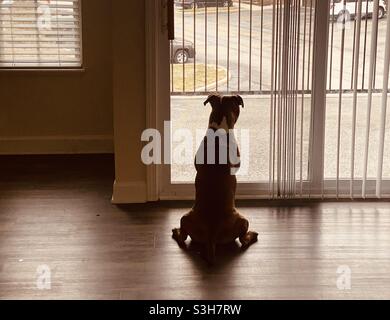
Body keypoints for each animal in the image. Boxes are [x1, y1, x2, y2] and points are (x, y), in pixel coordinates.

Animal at [171, 92, 258, 262]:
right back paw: (253, 235)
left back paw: (175, 231)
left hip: (186, 217)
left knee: (183, 236)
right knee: (243, 240)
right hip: (242, 220)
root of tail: (212, 233)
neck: (219, 130)